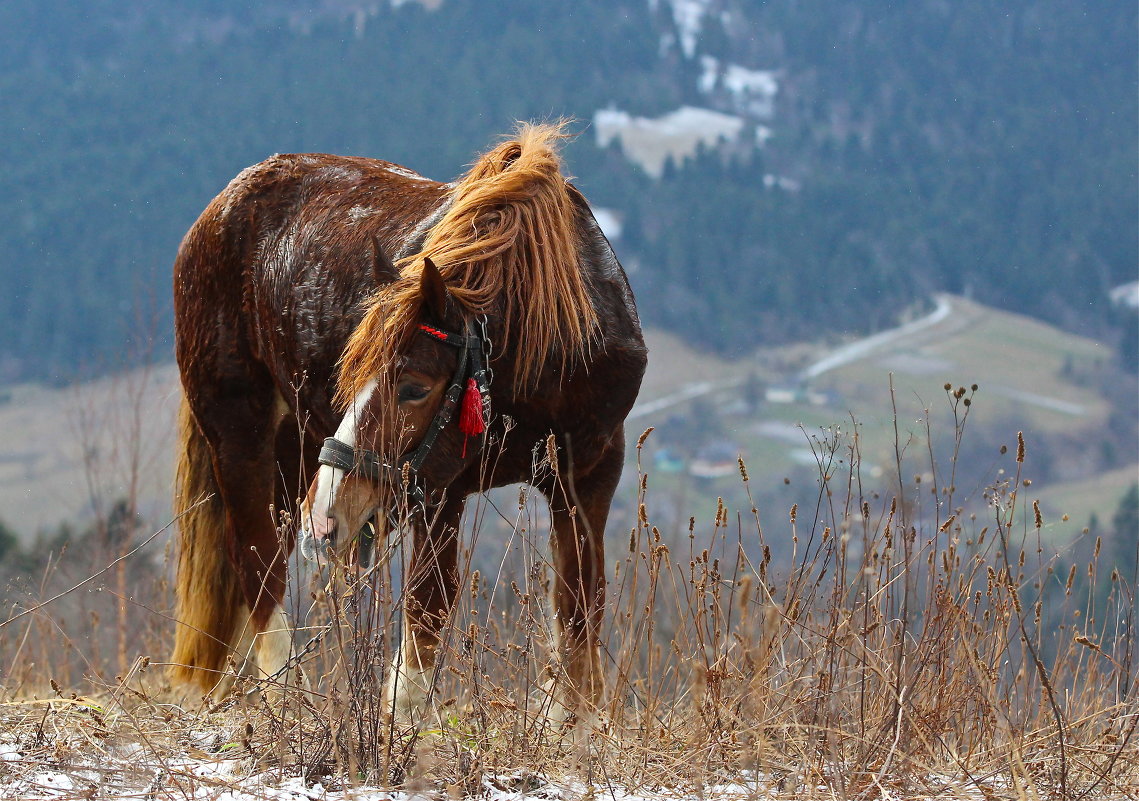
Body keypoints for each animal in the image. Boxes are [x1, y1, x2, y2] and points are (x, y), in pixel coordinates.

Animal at [169, 125, 651, 720]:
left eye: (415, 387)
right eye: (351, 369)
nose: (326, 519)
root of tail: (217, 212)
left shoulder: (587, 480)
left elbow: (580, 619)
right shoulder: (442, 492)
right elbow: (426, 620)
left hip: (296, 451)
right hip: (241, 438)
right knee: (260, 568)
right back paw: (284, 699)